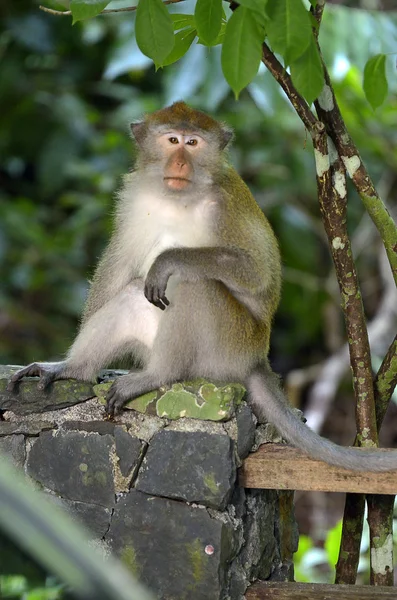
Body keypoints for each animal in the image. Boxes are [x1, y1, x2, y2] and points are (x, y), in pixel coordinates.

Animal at [7, 103, 396, 474]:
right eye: (172, 140)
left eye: (193, 143)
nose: (180, 161)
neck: (177, 197)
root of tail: (256, 360)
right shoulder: (134, 200)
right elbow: (119, 265)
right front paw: (69, 363)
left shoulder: (224, 206)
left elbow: (257, 273)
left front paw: (167, 260)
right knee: (135, 292)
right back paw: (78, 369)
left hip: (226, 349)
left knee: (194, 283)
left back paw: (160, 374)